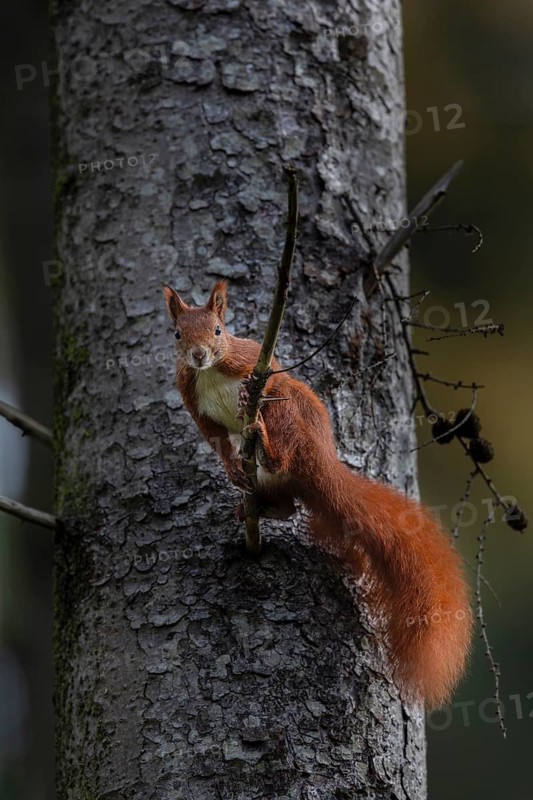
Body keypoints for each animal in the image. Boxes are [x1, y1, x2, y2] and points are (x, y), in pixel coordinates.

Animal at [163, 279, 472, 708]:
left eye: (218, 330)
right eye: (178, 334)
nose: (198, 354)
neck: (208, 373)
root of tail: (323, 461)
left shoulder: (254, 361)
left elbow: (268, 378)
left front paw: (246, 398)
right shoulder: (193, 400)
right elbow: (217, 441)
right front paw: (230, 470)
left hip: (291, 414)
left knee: (281, 435)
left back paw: (265, 445)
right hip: (283, 481)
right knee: (288, 505)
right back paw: (254, 504)